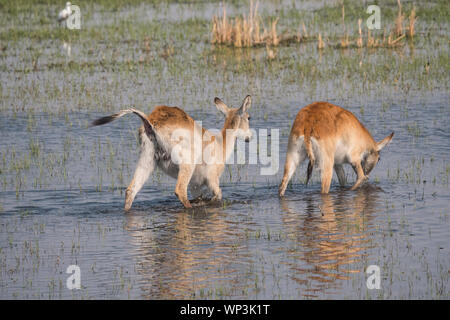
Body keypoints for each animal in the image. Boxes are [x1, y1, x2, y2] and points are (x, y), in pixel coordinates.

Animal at [91, 95, 253, 210]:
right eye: (248, 117)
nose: (249, 137)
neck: (220, 144)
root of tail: (150, 122)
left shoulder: (196, 186)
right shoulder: (212, 180)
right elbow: (218, 196)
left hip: (147, 160)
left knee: (131, 190)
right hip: (186, 163)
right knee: (180, 190)